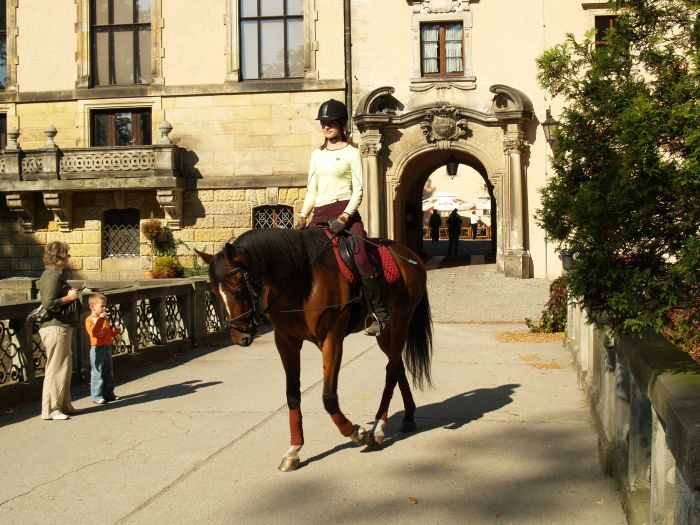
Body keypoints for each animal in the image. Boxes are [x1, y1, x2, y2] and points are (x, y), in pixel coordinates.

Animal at [197, 226, 432, 470]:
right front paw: (294, 449)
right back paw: (408, 416)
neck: (299, 281)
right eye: (214, 292)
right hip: (385, 334)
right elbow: (292, 394)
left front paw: (355, 432)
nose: (239, 336)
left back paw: (378, 427)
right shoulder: (286, 342)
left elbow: (328, 397)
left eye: (239, 291)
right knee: (397, 367)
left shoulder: (331, 340)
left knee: (391, 370)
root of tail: (410, 255)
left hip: (400, 322)